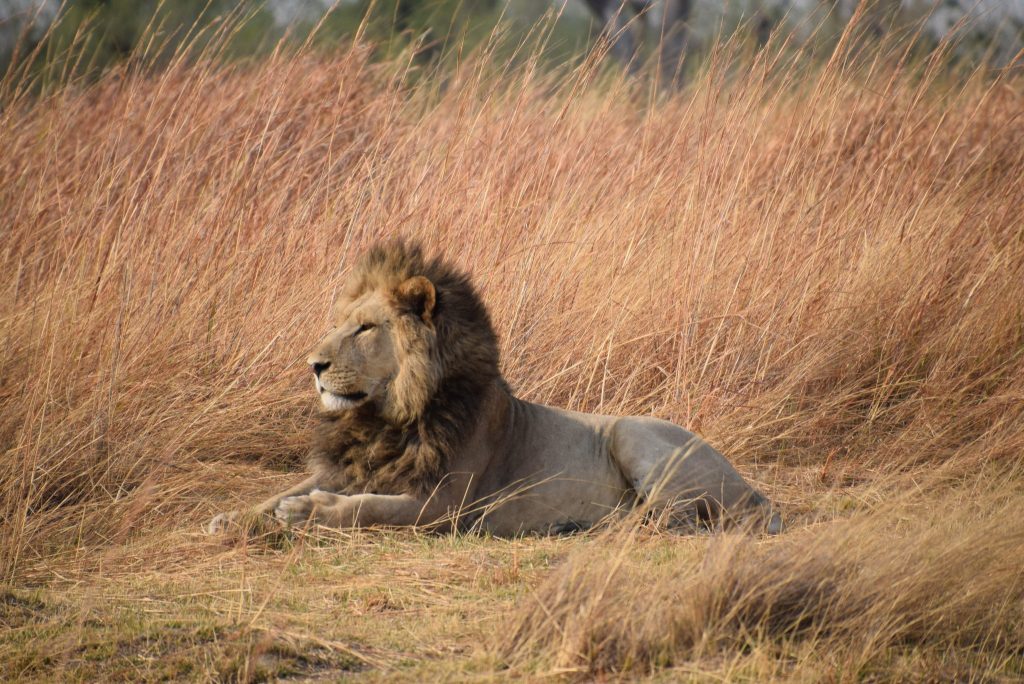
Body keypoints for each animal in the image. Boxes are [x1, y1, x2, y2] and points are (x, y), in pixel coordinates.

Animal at [208, 241, 782, 536]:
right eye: (338, 324)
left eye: (365, 329)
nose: (313, 364)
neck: (385, 419)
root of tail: (754, 490)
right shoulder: (351, 468)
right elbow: (278, 492)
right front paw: (235, 516)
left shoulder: (442, 504)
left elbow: (367, 507)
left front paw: (311, 512)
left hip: (633, 435)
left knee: (671, 518)